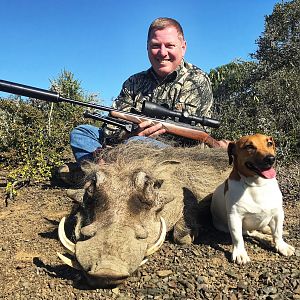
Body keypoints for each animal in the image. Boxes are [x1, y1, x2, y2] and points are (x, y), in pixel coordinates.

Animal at [211, 132, 296, 264]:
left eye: (269, 143)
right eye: (249, 146)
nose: (271, 159)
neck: (257, 185)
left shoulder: (278, 213)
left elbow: (277, 232)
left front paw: (281, 246)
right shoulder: (235, 217)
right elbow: (237, 238)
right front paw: (240, 253)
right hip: (230, 227)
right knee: (251, 233)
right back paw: (266, 238)